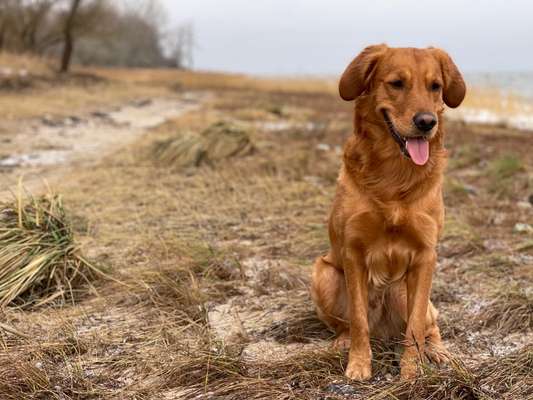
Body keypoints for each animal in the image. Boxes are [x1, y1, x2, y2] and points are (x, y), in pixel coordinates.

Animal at [310, 45, 464, 380]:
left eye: (436, 86)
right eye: (396, 83)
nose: (427, 122)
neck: (394, 174)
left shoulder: (425, 256)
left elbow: (415, 327)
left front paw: (411, 370)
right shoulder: (353, 252)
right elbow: (358, 320)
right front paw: (358, 364)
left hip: (405, 293)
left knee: (430, 325)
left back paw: (439, 352)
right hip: (323, 273)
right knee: (346, 324)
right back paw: (342, 342)